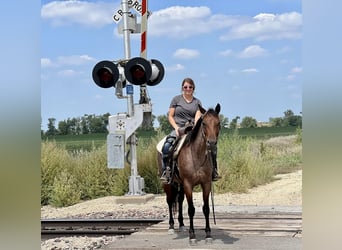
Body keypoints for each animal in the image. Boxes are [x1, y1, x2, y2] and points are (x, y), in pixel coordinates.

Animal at [158, 103, 222, 244]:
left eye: (218, 122)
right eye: (204, 123)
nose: (211, 143)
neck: (196, 155)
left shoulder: (206, 184)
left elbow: (206, 209)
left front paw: (208, 234)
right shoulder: (188, 184)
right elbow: (191, 209)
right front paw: (192, 236)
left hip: (180, 184)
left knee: (180, 200)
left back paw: (182, 225)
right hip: (168, 184)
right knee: (170, 201)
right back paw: (171, 226)